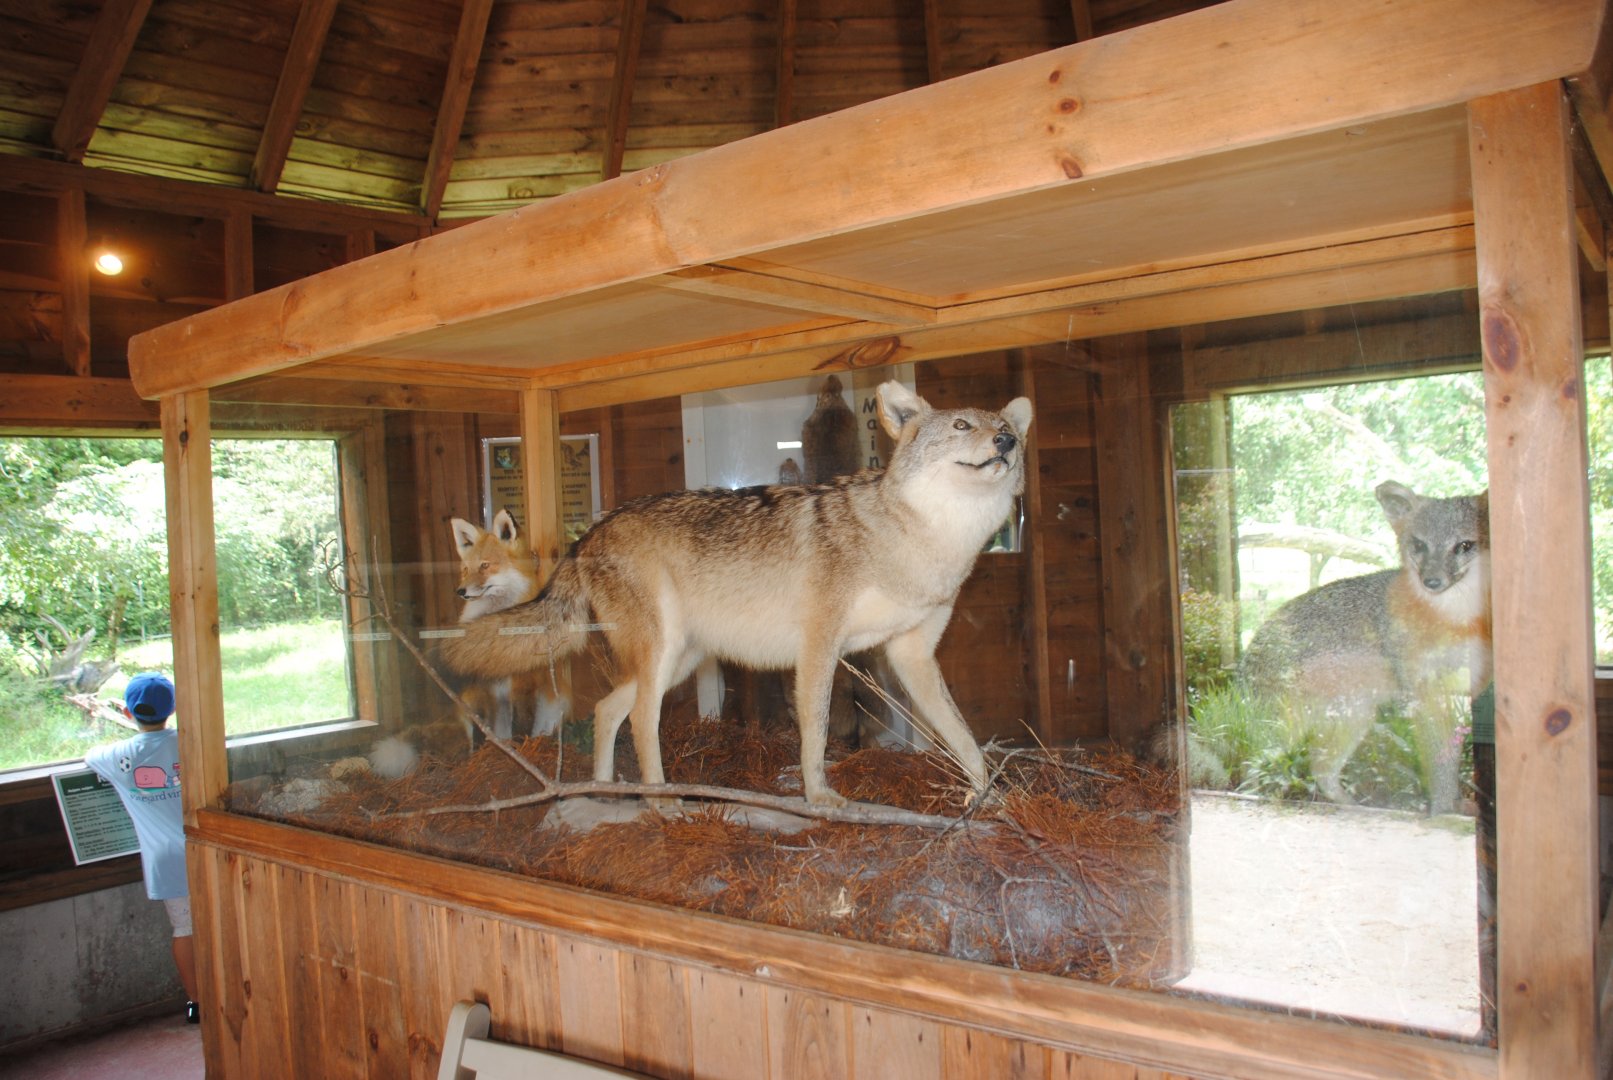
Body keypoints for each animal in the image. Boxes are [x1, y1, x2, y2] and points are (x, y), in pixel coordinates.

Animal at [450, 509, 569, 740]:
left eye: (485, 566)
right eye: (466, 569)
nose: (460, 591)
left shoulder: (525, 684)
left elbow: (525, 727)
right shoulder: (490, 687)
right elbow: (495, 727)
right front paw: (494, 746)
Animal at [1239, 480, 1491, 811]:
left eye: (1464, 546)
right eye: (1419, 545)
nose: (1431, 581)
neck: (1452, 620)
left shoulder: (1466, 687)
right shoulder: (1423, 692)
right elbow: (1440, 761)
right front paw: (1444, 807)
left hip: (1356, 717)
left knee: (1320, 767)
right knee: (1257, 765)